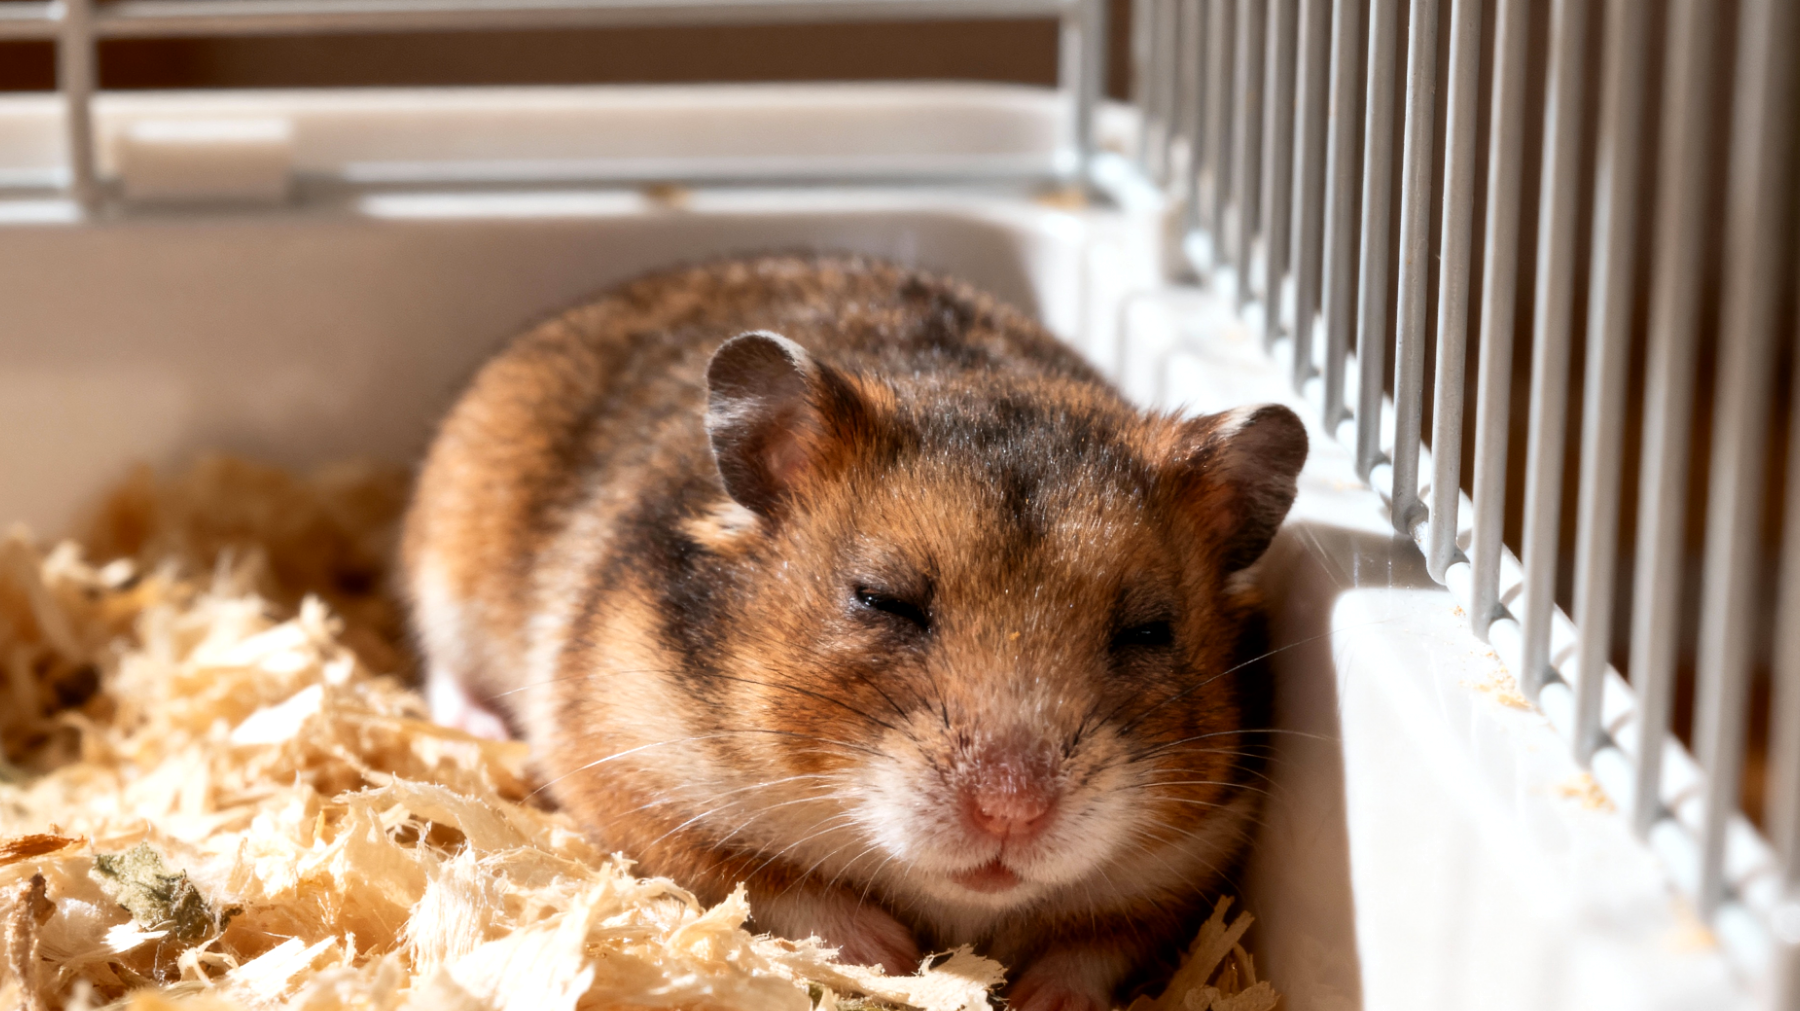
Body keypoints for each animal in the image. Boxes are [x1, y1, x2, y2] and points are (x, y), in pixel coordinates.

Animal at [401, 254, 1307, 1011]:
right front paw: (896, 958)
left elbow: (1099, 942)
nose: (1011, 812)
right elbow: (777, 885)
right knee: (443, 662)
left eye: (1148, 628)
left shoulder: (1193, 859)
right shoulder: (629, 772)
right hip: (447, 560)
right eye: (882, 599)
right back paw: (477, 728)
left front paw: (1039, 997)